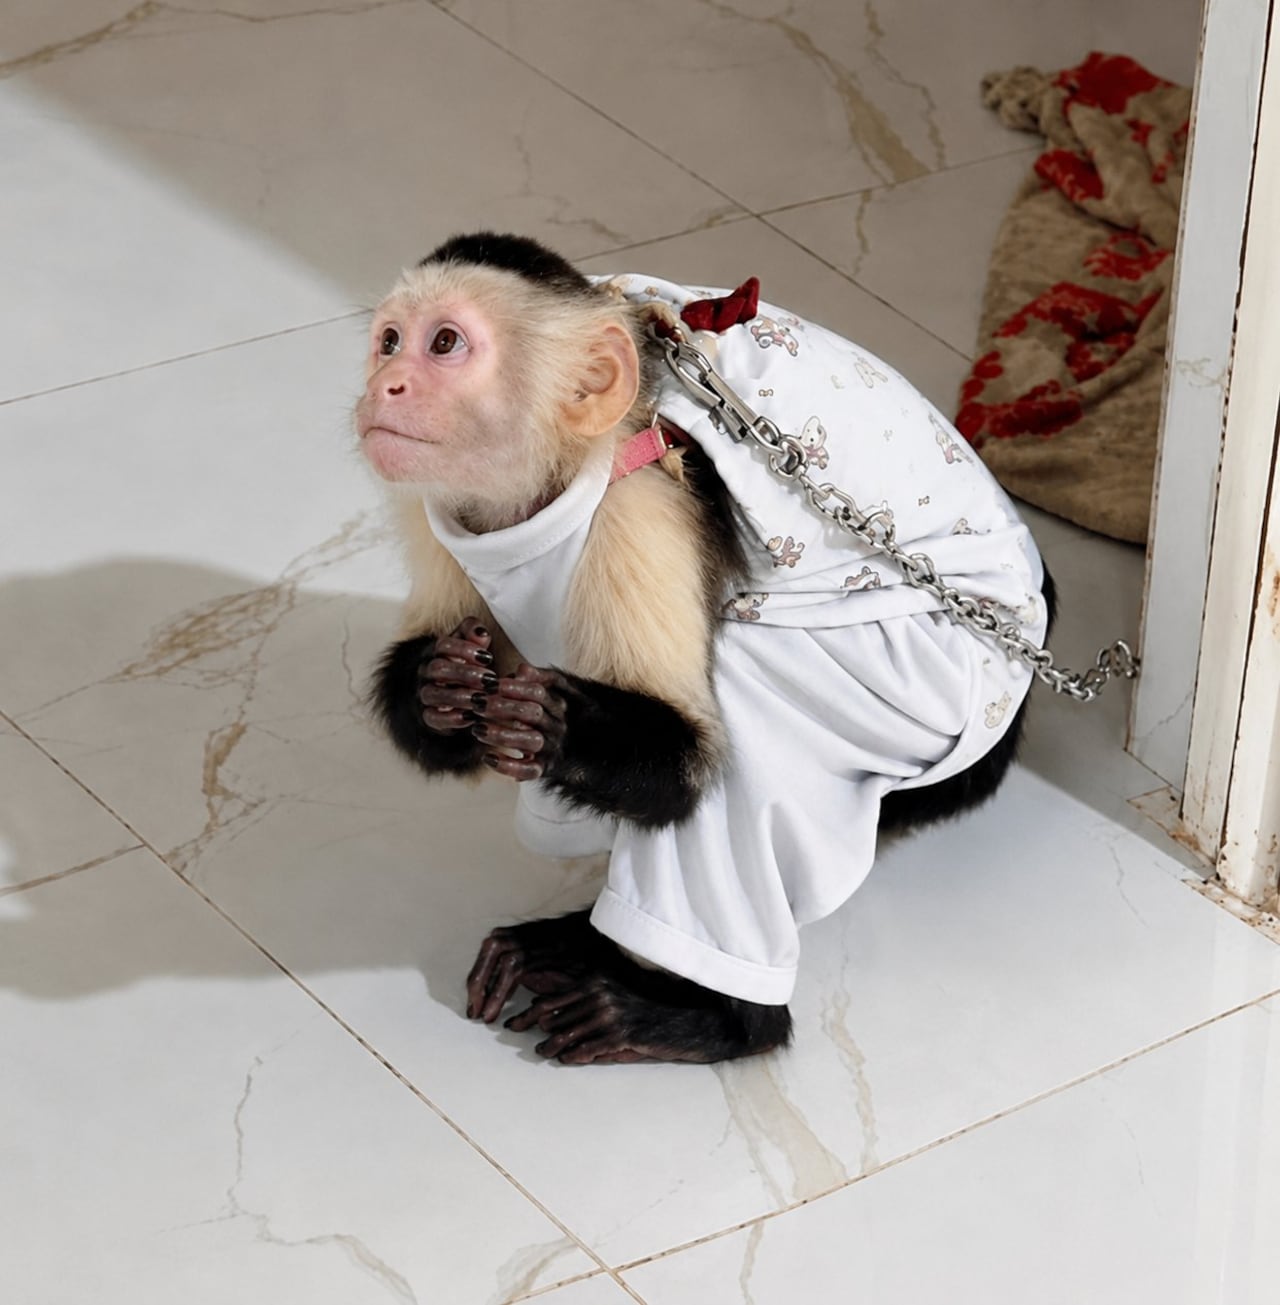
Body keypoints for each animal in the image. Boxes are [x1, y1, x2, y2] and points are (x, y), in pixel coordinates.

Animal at [357, 232, 1056, 1066]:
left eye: (445, 344)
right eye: (390, 341)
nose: (385, 384)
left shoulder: (646, 505)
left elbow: (684, 765)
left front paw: (555, 726)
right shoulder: (442, 507)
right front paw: (440, 687)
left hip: (939, 690)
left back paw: (708, 1017)